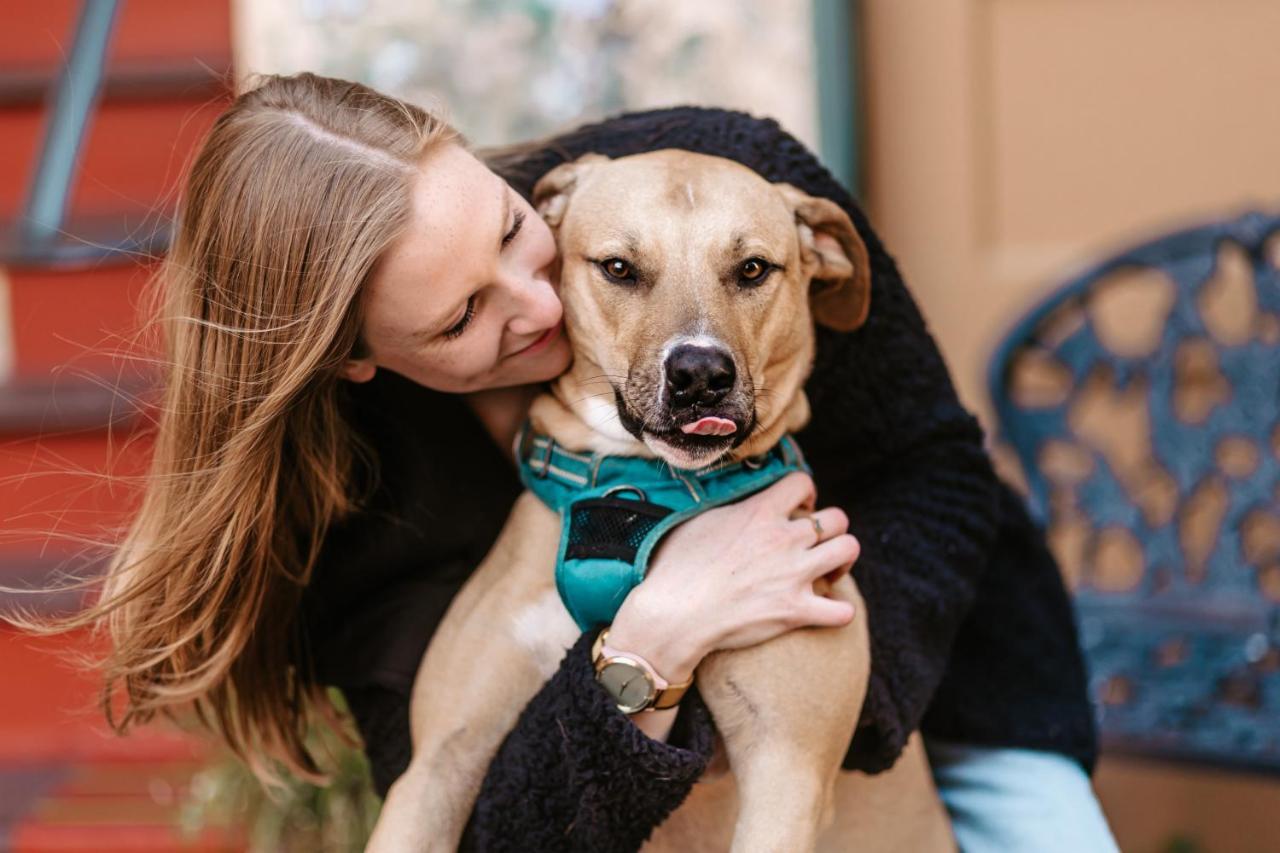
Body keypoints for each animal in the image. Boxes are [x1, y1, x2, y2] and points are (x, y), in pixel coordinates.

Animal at [366, 153, 957, 850]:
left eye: (752, 269)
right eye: (619, 268)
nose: (701, 374)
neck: (641, 492)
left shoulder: (789, 775)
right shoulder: (436, 765)